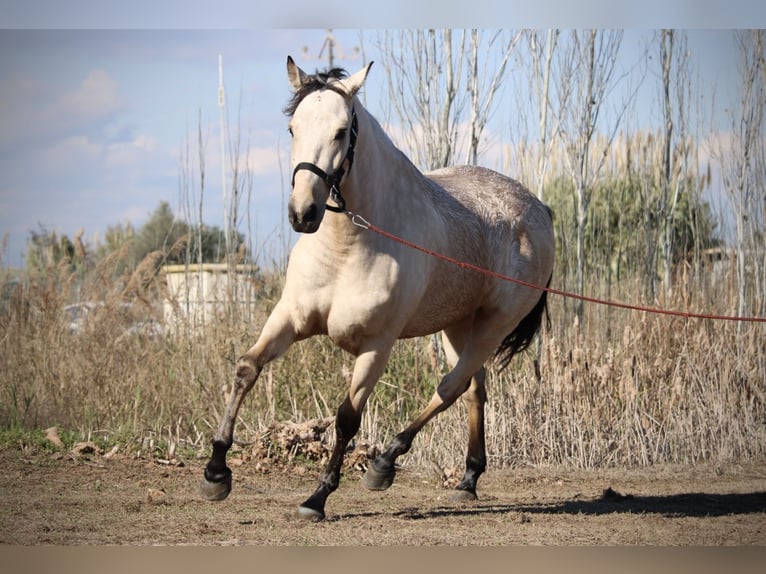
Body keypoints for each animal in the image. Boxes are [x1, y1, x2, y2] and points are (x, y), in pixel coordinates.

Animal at [201, 56, 556, 524]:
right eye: (293, 128)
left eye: (340, 131)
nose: (302, 214)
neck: (347, 248)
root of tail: (538, 210)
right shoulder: (289, 319)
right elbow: (246, 368)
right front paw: (216, 472)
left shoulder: (376, 345)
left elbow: (347, 418)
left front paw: (318, 497)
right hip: (458, 325)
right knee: (473, 389)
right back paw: (467, 479)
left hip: (494, 325)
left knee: (450, 387)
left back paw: (385, 464)